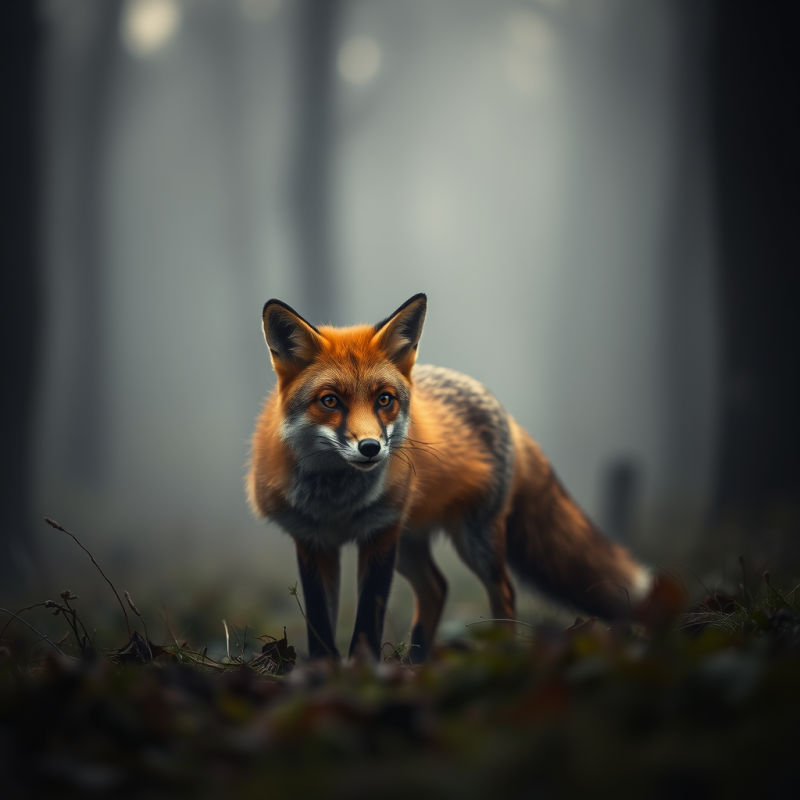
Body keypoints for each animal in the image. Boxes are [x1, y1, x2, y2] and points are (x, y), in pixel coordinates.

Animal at [247, 293, 650, 661]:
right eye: (330, 401)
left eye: (384, 400)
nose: (371, 448)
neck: (337, 502)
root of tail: (503, 410)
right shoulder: (313, 540)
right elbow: (319, 625)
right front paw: (324, 673)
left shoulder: (380, 533)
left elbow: (366, 623)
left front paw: (364, 672)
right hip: (410, 544)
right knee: (437, 588)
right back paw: (416, 660)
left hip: (475, 538)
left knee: (503, 591)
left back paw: (498, 652)